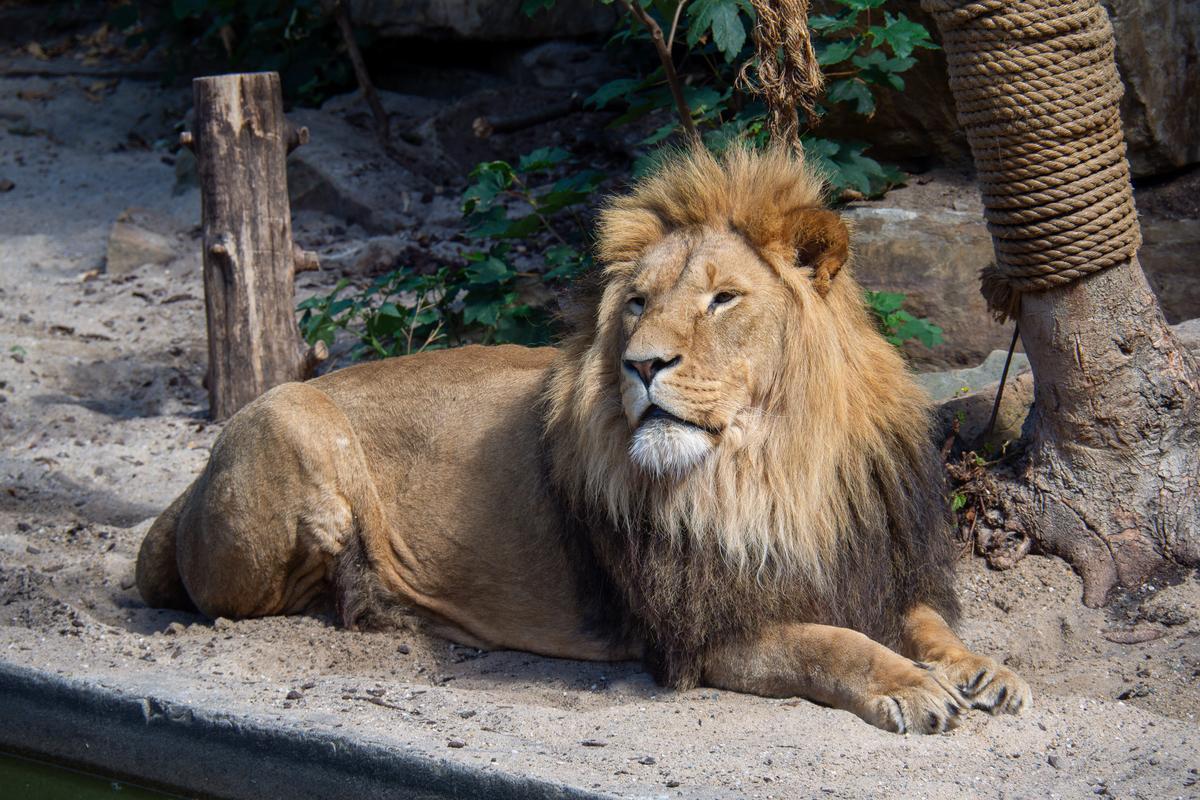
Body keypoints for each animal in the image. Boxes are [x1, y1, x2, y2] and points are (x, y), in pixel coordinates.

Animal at [137, 146, 1030, 734]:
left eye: (723, 300)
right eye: (637, 303)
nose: (642, 364)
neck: (773, 470)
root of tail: (186, 490)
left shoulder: (870, 563)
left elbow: (924, 621)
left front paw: (984, 670)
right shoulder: (697, 634)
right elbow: (832, 644)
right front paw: (911, 686)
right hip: (291, 418)